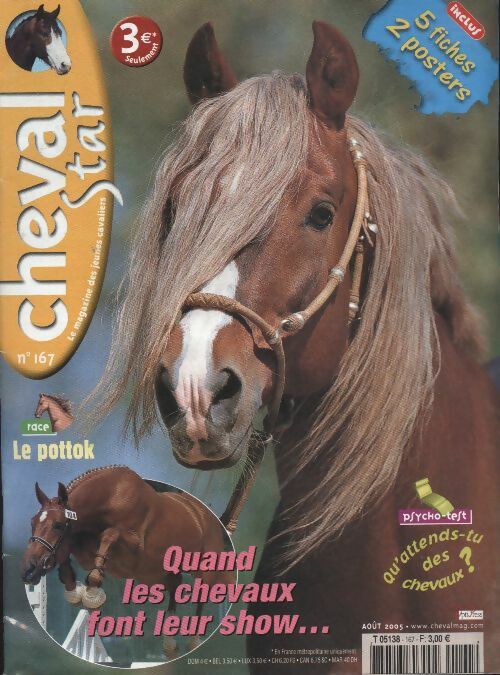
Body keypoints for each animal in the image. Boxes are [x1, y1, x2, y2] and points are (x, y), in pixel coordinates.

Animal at [21, 465, 232, 656]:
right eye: (32, 522)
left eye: (58, 525)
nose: (28, 570)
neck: (111, 497)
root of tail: (206, 514)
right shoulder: (84, 549)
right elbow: (68, 555)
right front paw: (74, 590)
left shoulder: (136, 544)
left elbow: (110, 534)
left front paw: (92, 592)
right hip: (158, 574)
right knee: (175, 588)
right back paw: (170, 643)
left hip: (204, 566)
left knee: (203, 591)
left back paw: (194, 641)